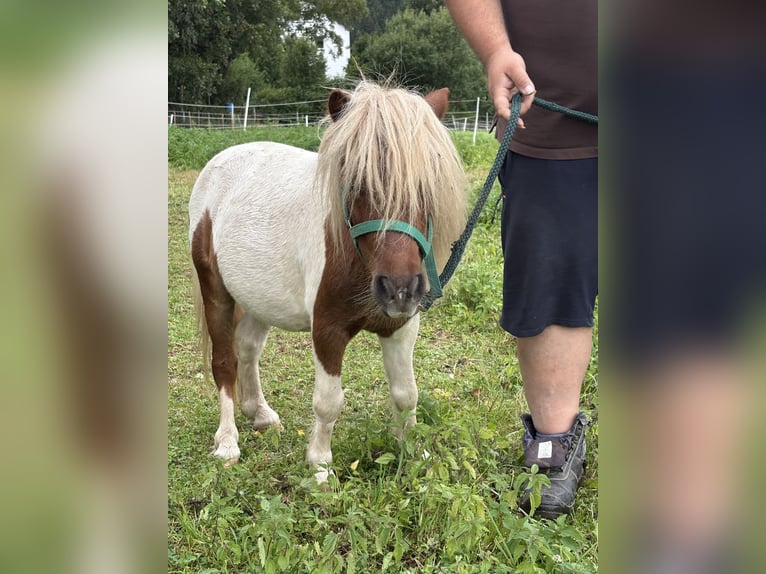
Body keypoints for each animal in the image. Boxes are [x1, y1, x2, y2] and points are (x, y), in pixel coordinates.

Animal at [189, 81, 467, 481]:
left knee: (247, 349)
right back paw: (227, 442)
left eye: (428, 183)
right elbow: (328, 402)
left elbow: (406, 394)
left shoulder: (400, 328)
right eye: (356, 183)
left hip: (259, 297)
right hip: (215, 289)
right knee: (224, 361)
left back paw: (260, 414)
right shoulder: (327, 330)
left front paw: (413, 456)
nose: (399, 290)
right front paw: (320, 466)